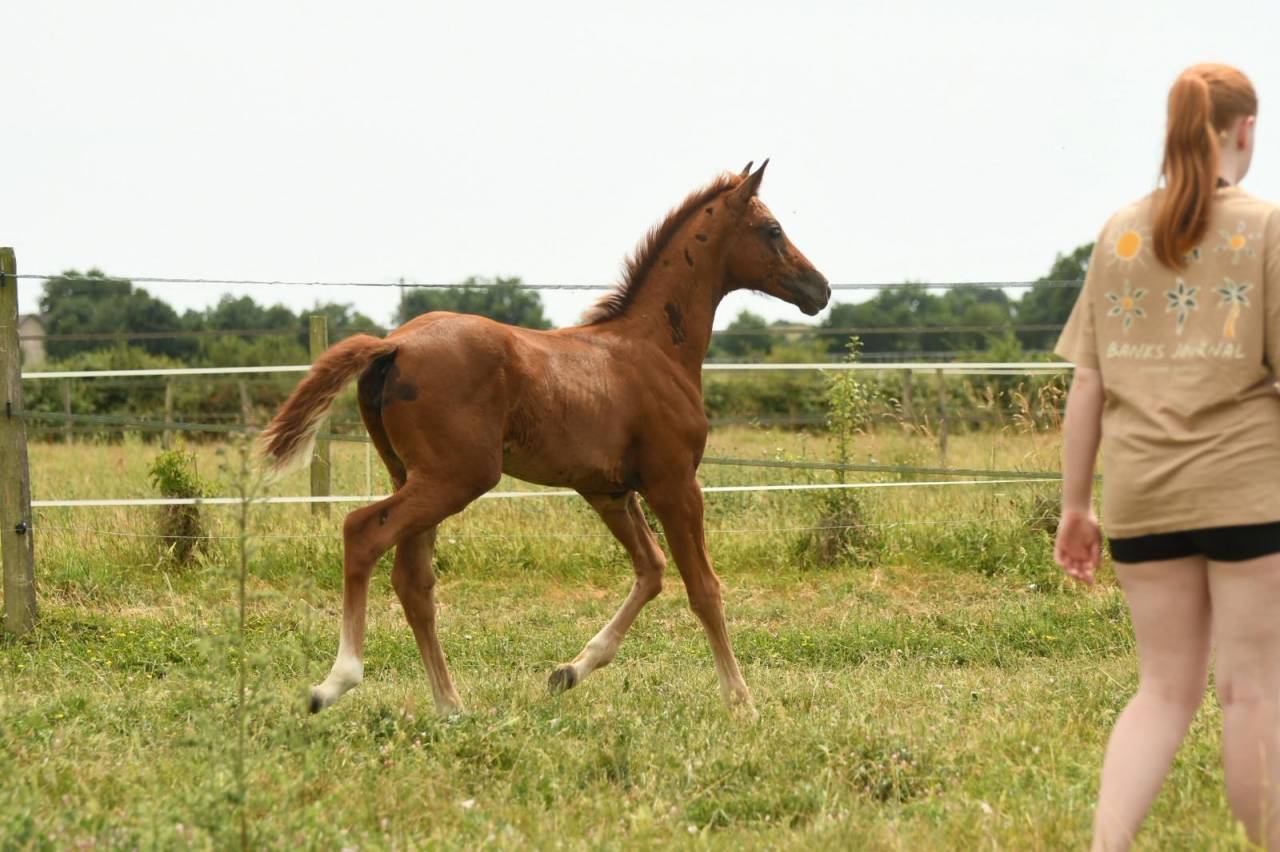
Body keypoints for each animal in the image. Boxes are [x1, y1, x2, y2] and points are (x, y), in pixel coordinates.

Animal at [258, 161, 830, 715]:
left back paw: (450, 705)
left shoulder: (608, 491)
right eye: (773, 230)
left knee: (413, 581)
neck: (654, 349)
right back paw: (336, 682)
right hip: (456, 478)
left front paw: (569, 671)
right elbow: (703, 588)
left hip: (414, 475)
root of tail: (393, 344)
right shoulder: (674, 483)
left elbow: (652, 569)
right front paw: (741, 700)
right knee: (362, 532)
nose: (819, 288)